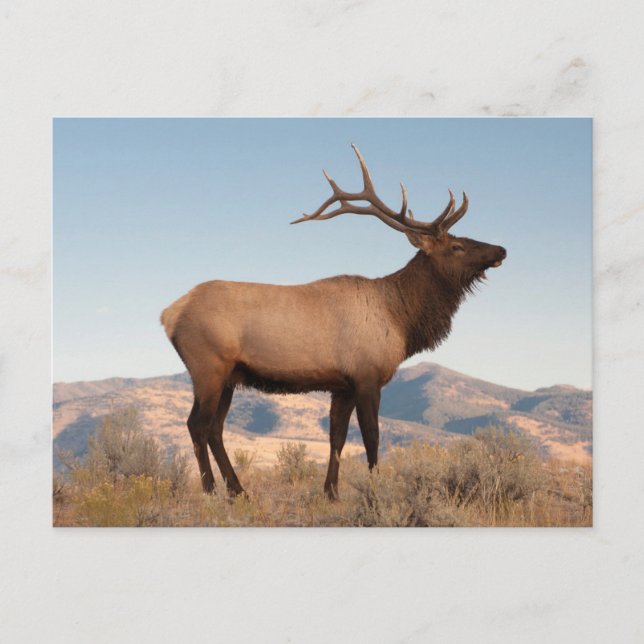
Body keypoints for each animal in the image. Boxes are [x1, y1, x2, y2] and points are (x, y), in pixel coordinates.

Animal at [161, 145, 506, 499]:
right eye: (457, 245)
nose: (501, 249)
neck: (400, 319)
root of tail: (170, 314)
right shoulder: (367, 376)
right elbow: (371, 436)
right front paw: (376, 489)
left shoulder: (342, 385)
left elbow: (336, 437)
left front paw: (331, 492)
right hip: (208, 368)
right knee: (197, 425)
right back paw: (210, 489)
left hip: (229, 376)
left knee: (215, 429)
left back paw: (237, 490)